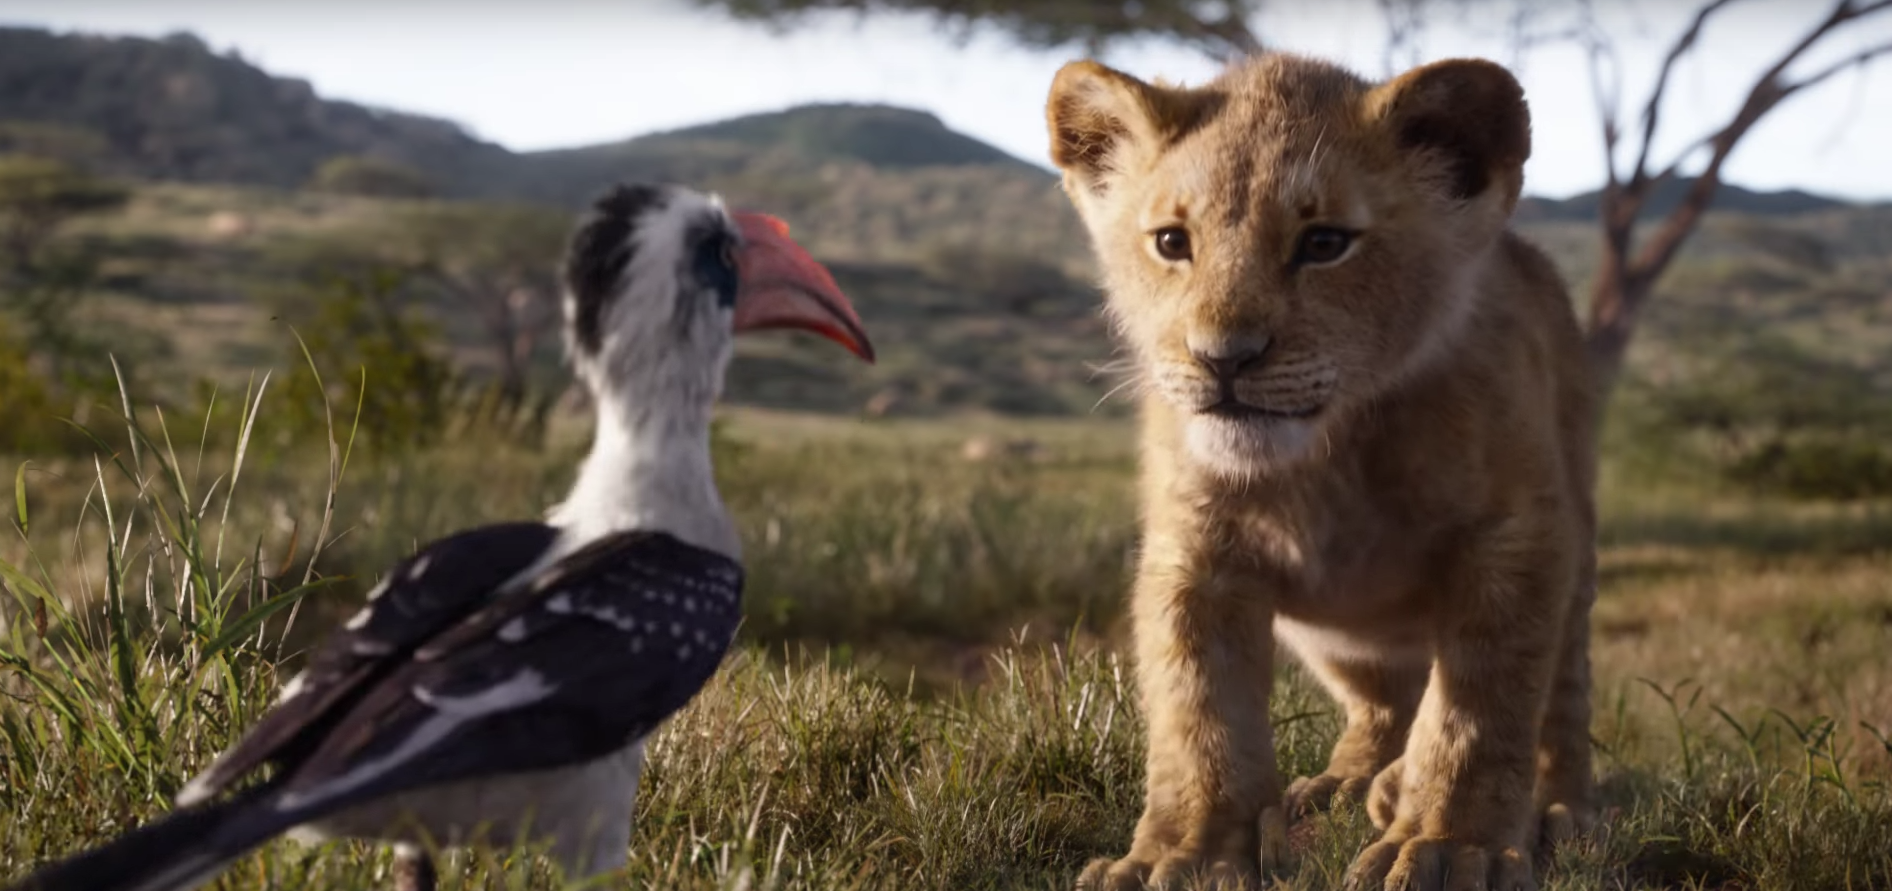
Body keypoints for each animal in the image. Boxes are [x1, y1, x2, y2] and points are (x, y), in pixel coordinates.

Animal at [1043, 52, 1599, 891]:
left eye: (1325, 242)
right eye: (1172, 241)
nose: (1223, 358)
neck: (1327, 457)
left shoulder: (1513, 535)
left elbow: (1477, 708)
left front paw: (1444, 846)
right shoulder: (1195, 553)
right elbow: (1198, 711)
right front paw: (1185, 852)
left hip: (1577, 541)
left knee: (1559, 697)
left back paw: (1556, 807)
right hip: (1337, 638)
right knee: (1382, 704)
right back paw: (1347, 784)